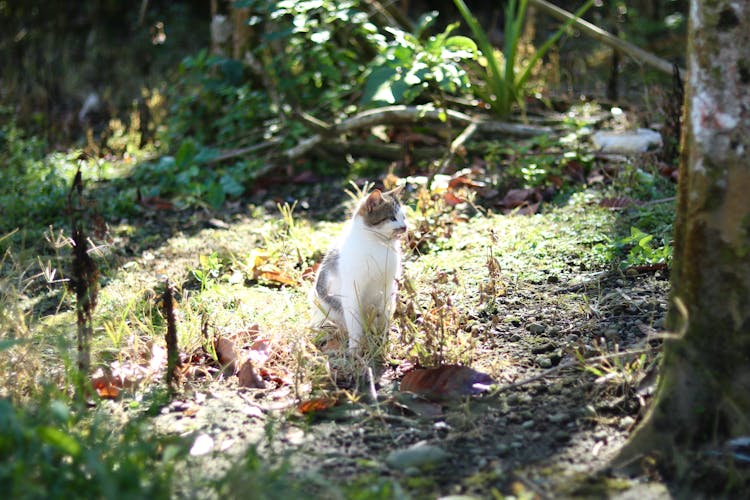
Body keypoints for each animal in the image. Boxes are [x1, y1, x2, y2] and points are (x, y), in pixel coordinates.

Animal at [312, 186, 408, 354]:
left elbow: (384, 314)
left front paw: (384, 338)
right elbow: (354, 323)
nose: (405, 227)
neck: (378, 245)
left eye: (403, 217)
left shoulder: (388, 285)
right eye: (392, 218)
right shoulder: (352, 290)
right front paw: (355, 348)